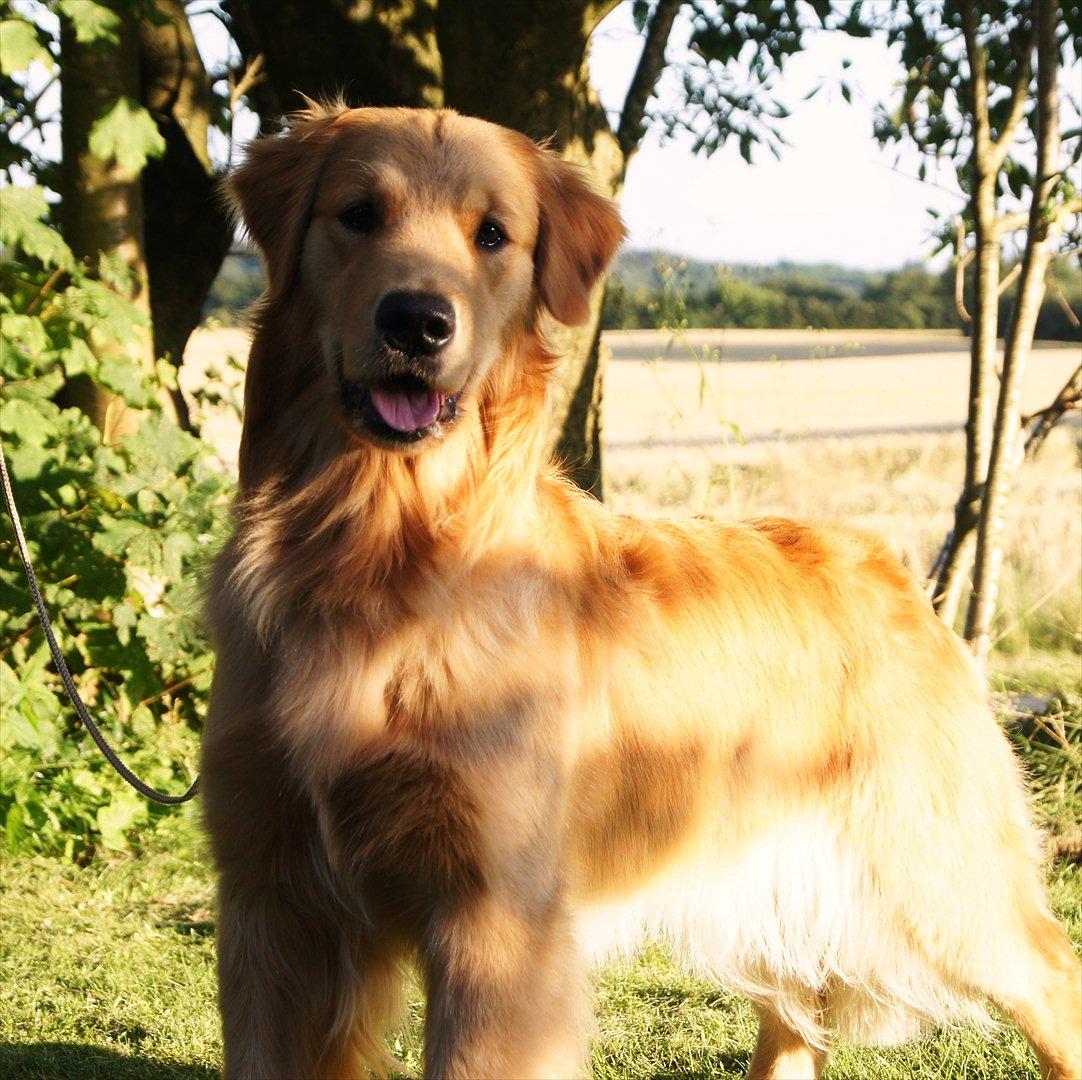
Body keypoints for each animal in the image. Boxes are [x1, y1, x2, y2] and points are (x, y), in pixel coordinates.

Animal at [204, 107, 1082, 1080]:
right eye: (358, 214)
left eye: (492, 235)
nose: (418, 322)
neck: (384, 545)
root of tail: (887, 567)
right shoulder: (269, 906)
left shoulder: (495, 920)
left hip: (935, 878)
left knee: (1056, 976)